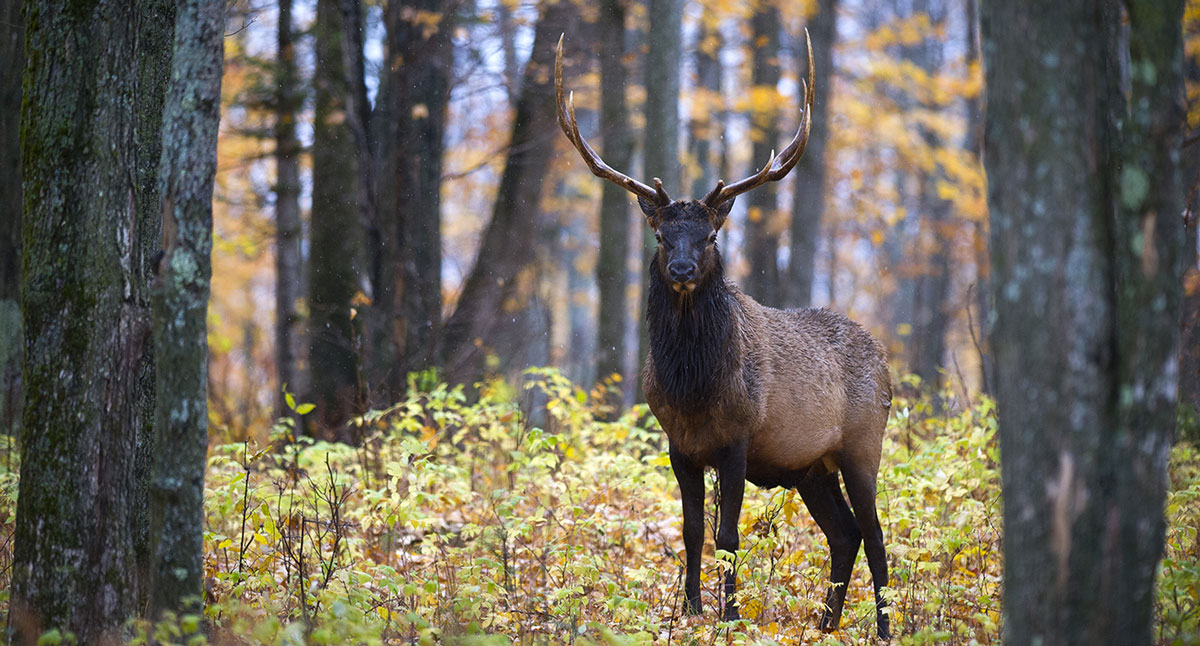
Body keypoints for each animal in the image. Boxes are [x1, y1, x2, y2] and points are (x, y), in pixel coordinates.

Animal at [555, 33, 893, 640]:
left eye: (710, 235)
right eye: (661, 235)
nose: (683, 268)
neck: (695, 391)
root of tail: (888, 367)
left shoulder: (739, 438)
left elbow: (728, 535)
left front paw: (731, 616)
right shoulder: (678, 444)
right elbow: (690, 532)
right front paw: (690, 611)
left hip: (862, 444)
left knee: (876, 535)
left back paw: (881, 627)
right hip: (811, 466)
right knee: (846, 533)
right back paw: (825, 623)